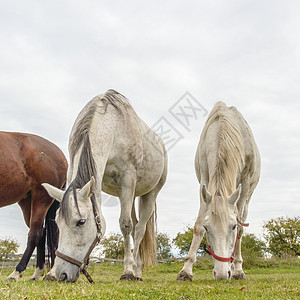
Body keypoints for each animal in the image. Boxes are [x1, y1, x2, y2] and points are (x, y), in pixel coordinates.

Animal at [0, 132, 67, 282]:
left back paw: (17, 273)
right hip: (27, 202)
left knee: (35, 233)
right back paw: (37, 273)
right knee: (41, 232)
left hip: (41, 198)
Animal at [42, 90, 168, 282]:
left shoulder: (127, 179)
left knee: (139, 229)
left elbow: (125, 225)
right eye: (57, 222)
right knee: (135, 227)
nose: (62, 274)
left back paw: (136, 270)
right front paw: (50, 273)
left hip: (150, 193)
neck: (113, 126)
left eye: (81, 222)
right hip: (130, 196)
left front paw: (128, 271)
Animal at [178, 102, 260, 282]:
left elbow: (241, 228)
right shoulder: (204, 181)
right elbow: (198, 226)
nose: (222, 274)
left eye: (233, 227)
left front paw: (238, 269)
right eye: (208, 228)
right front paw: (186, 270)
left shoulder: (245, 184)